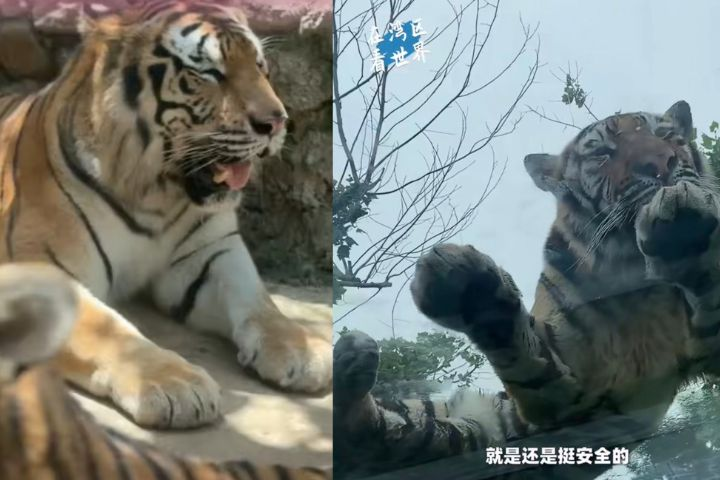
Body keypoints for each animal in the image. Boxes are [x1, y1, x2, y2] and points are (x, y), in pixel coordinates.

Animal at [0, 0, 331, 430]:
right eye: (209, 72)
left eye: (260, 66)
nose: (277, 123)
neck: (154, 196)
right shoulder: (43, 271)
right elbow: (110, 330)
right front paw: (173, 385)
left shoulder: (208, 254)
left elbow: (259, 301)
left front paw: (302, 349)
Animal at [334, 100, 720, 478]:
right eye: (602, 154)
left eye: (666, 136)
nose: (660, 165)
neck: (632, 269)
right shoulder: (572, 391)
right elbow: (526, 352)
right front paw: (472, 292)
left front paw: (682, 226)